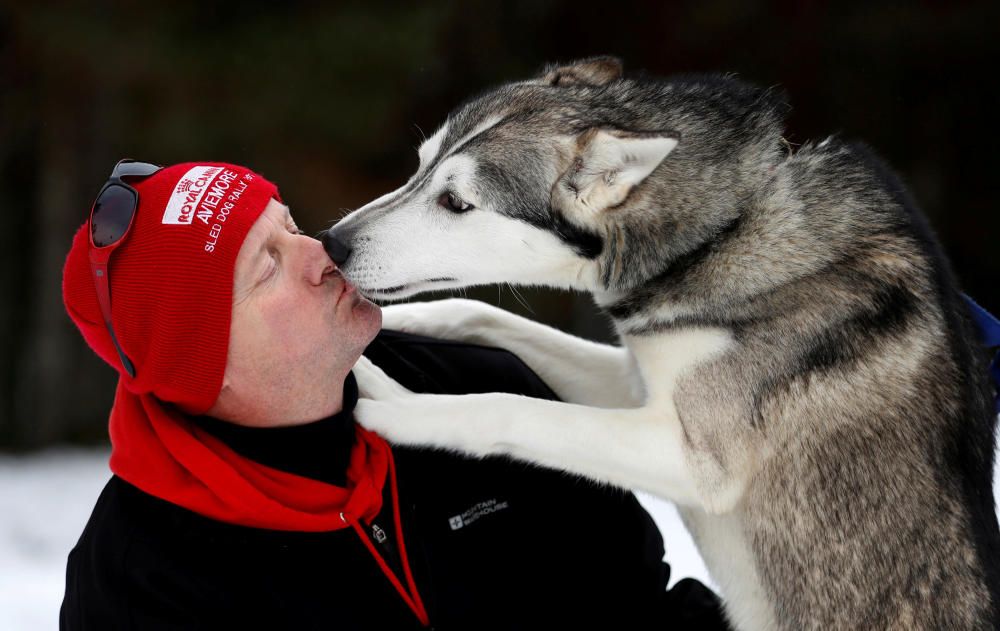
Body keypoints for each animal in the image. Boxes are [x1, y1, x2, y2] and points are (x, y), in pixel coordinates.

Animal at [324, 59, 996, 631]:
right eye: (418, 169)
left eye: (456, 203)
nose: (331, 243)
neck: (723, 229)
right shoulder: (636, 384)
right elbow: (480, 314)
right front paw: (381, 326)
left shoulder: (694, 461)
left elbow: (508, 409)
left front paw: (401, 406)